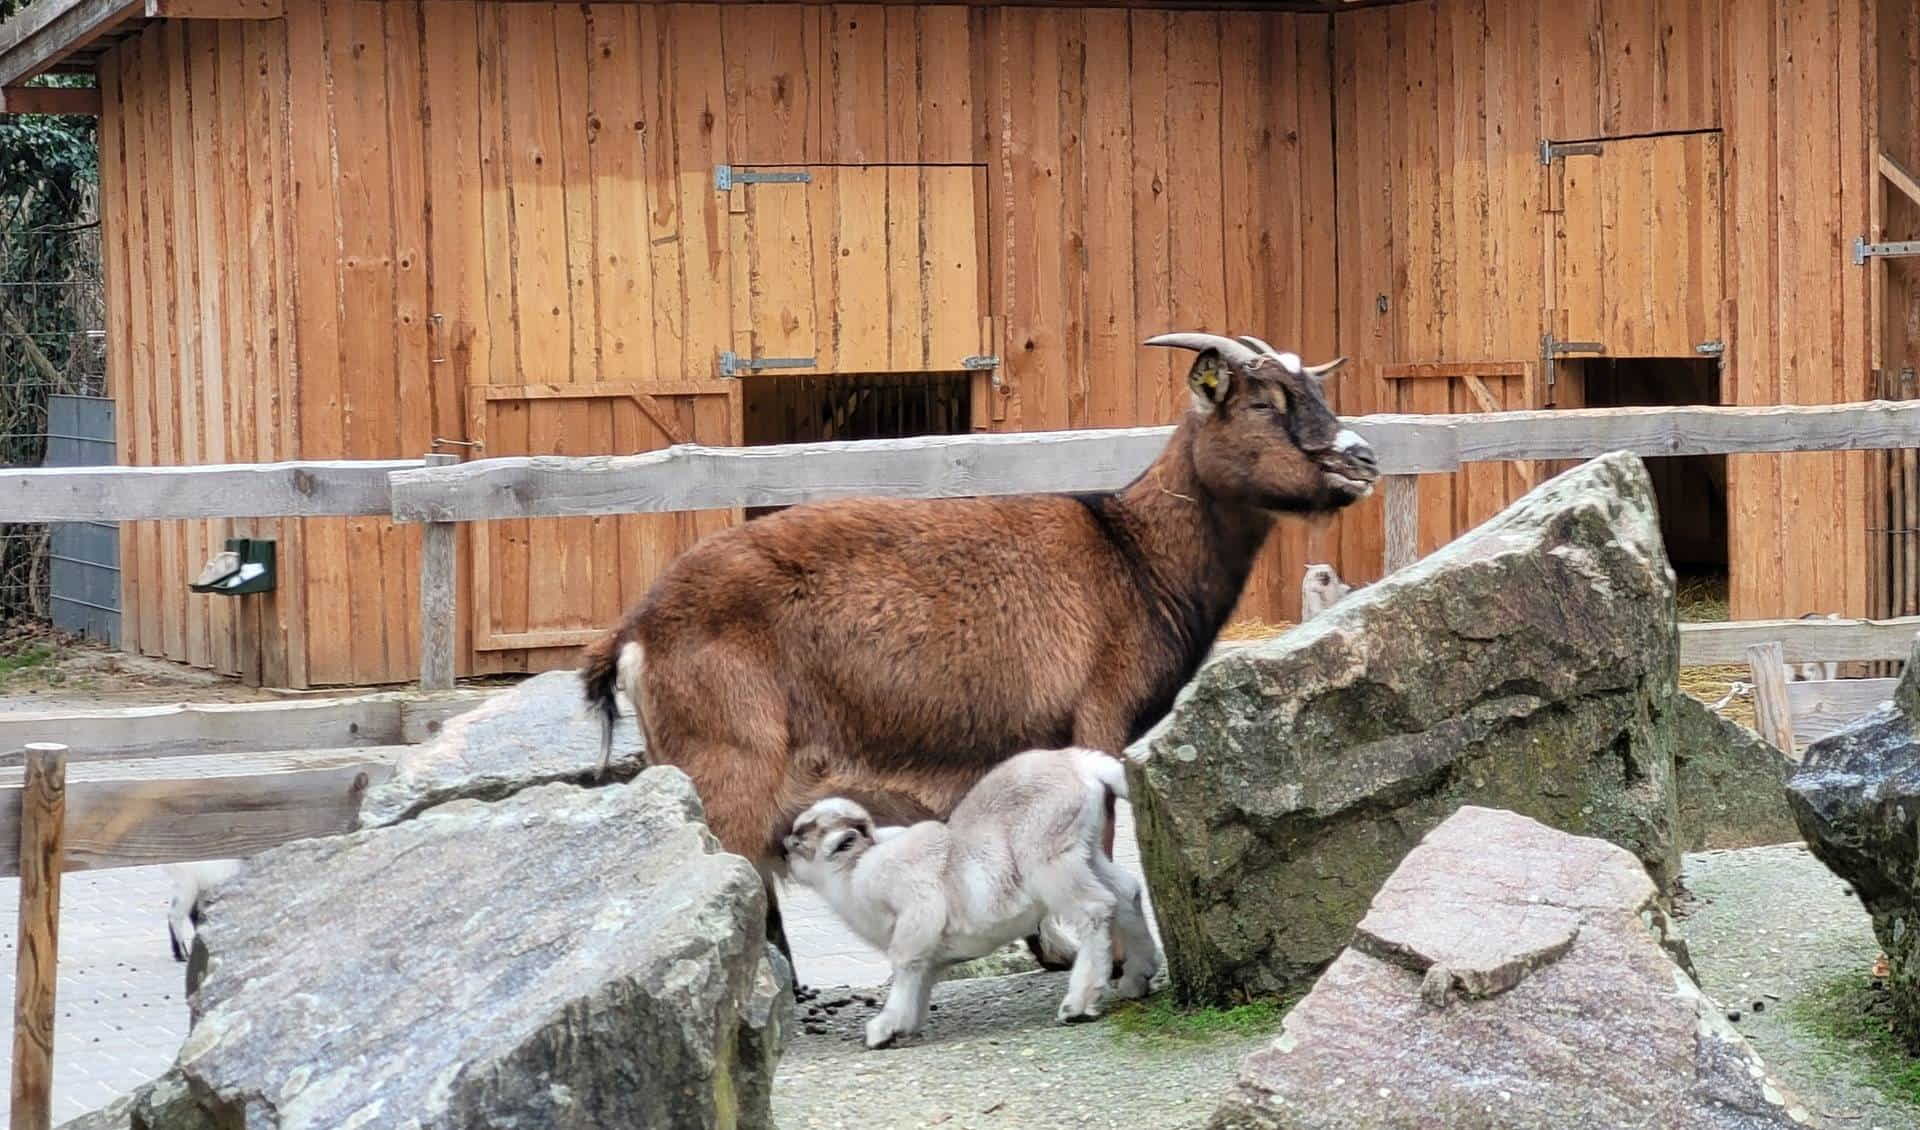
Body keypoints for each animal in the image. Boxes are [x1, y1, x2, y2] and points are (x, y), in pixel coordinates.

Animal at [583, 331, 1382, 951]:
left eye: (1315, 389)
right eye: (1262, 402)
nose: (1363, 459)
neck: (1131, 555)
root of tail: (638, 627)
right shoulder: (1098, 720)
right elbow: (1100, 846)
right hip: (728, 765)